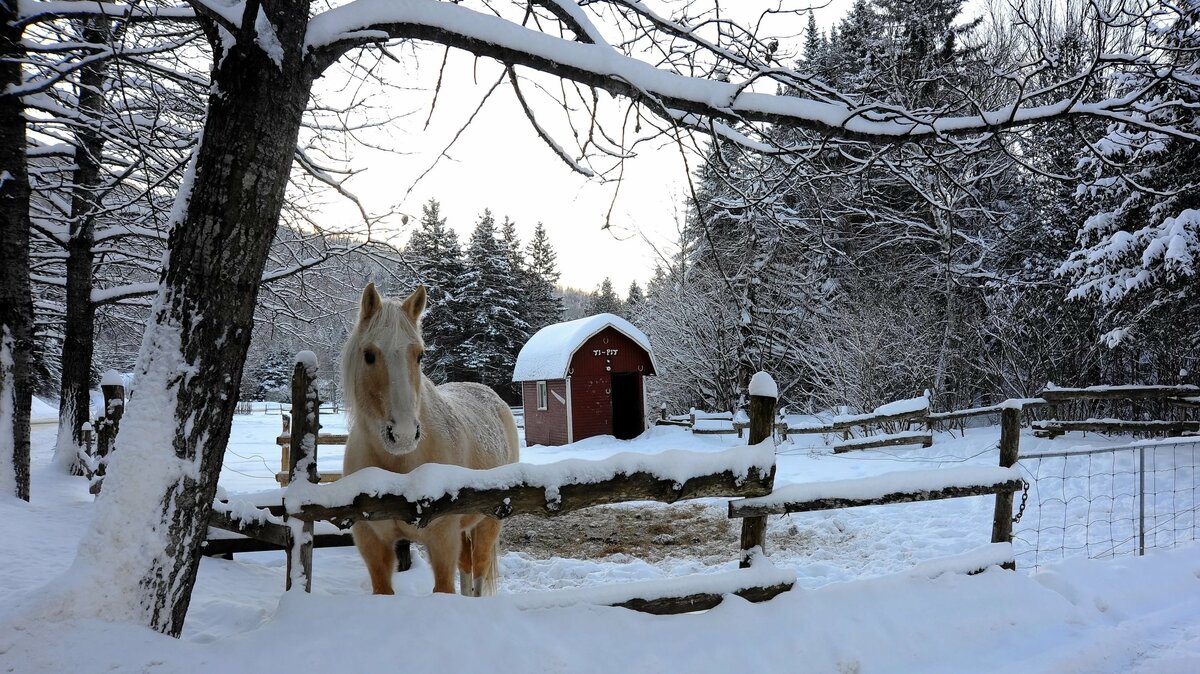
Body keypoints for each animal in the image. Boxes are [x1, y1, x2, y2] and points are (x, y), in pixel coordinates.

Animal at [341, 283, 520, 596]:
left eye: (420, 355)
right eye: (369, 354)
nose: (403, 434)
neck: (400, 468)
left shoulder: (442, 540)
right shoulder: (372, 544)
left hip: (488, 522)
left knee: (478, 572)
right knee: (467, 570)